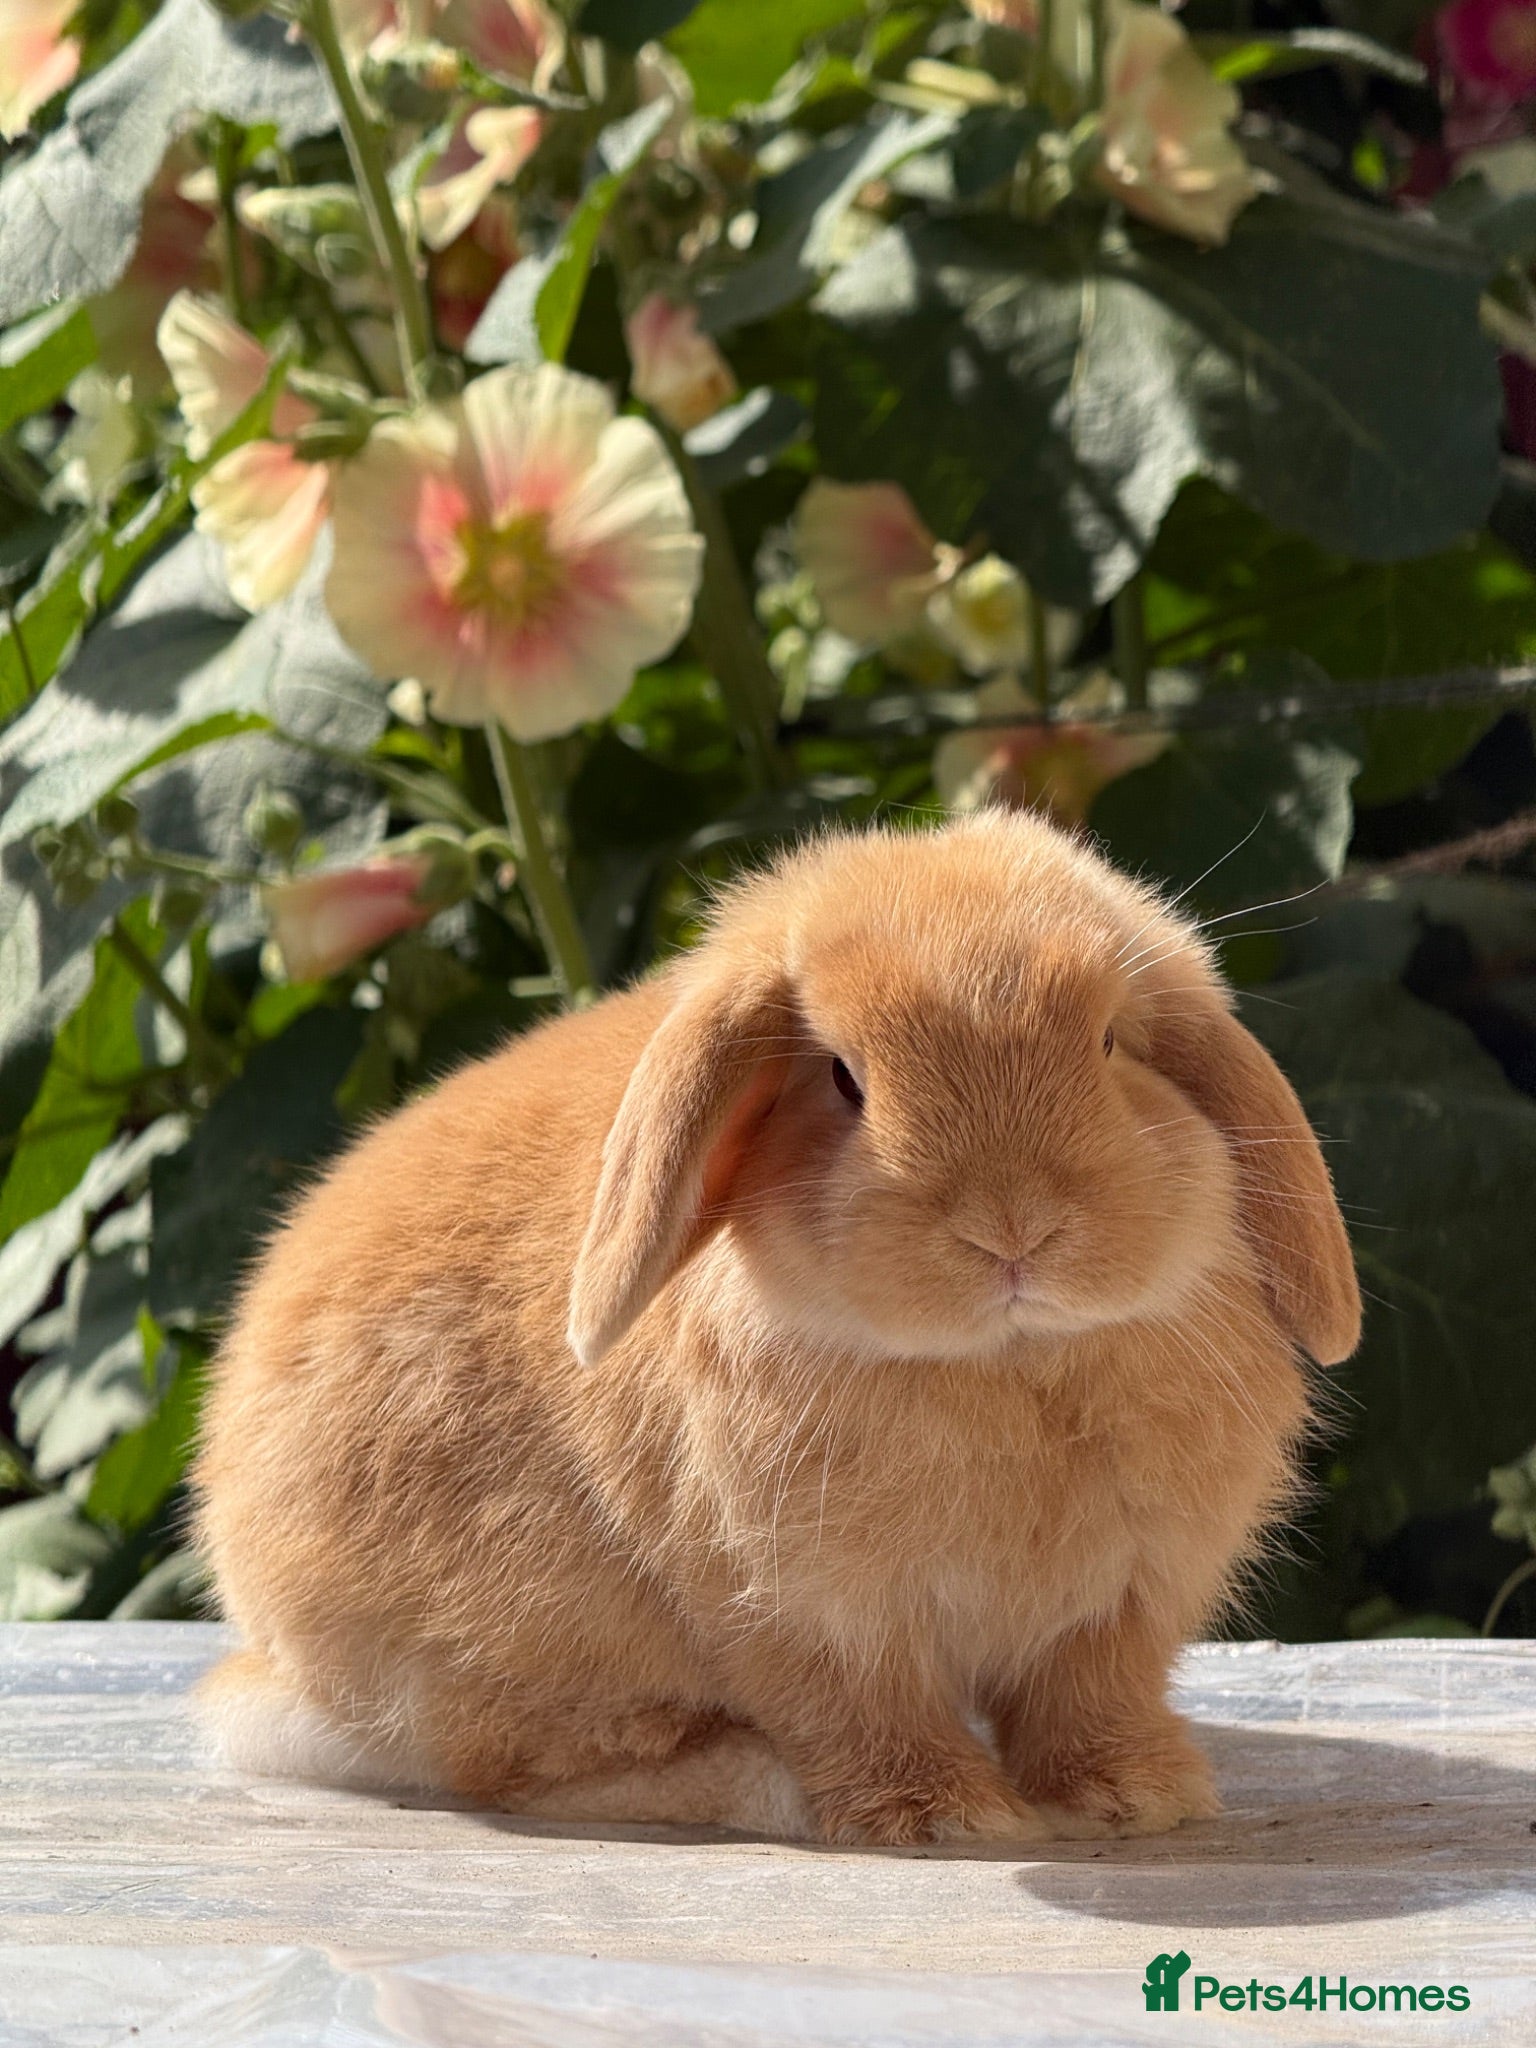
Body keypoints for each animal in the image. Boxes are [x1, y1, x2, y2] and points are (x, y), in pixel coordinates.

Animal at [192, 809, 1360, 1847]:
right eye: (844, 1078)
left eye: (1111, 1041)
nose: (1012, 1227)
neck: (1006, 1360)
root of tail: (269, 1662)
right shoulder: (803, 1615)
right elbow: (858, 1712)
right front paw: (942, 1817)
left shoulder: (1121, 1604)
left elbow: (1091, 1701)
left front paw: (1134, 1798)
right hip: (507, 1649)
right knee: (523, 1765)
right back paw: (766, 1787)